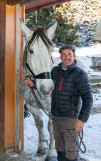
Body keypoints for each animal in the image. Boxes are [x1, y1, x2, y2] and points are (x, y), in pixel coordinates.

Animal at [19, 20, 57, 161]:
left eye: (51, 49)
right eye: (31, 50)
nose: (47, 87)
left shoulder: (53, 108)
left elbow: (52, 127)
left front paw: (52, 152)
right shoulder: (31, 106)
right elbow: (39, 124)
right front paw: (42, 146)